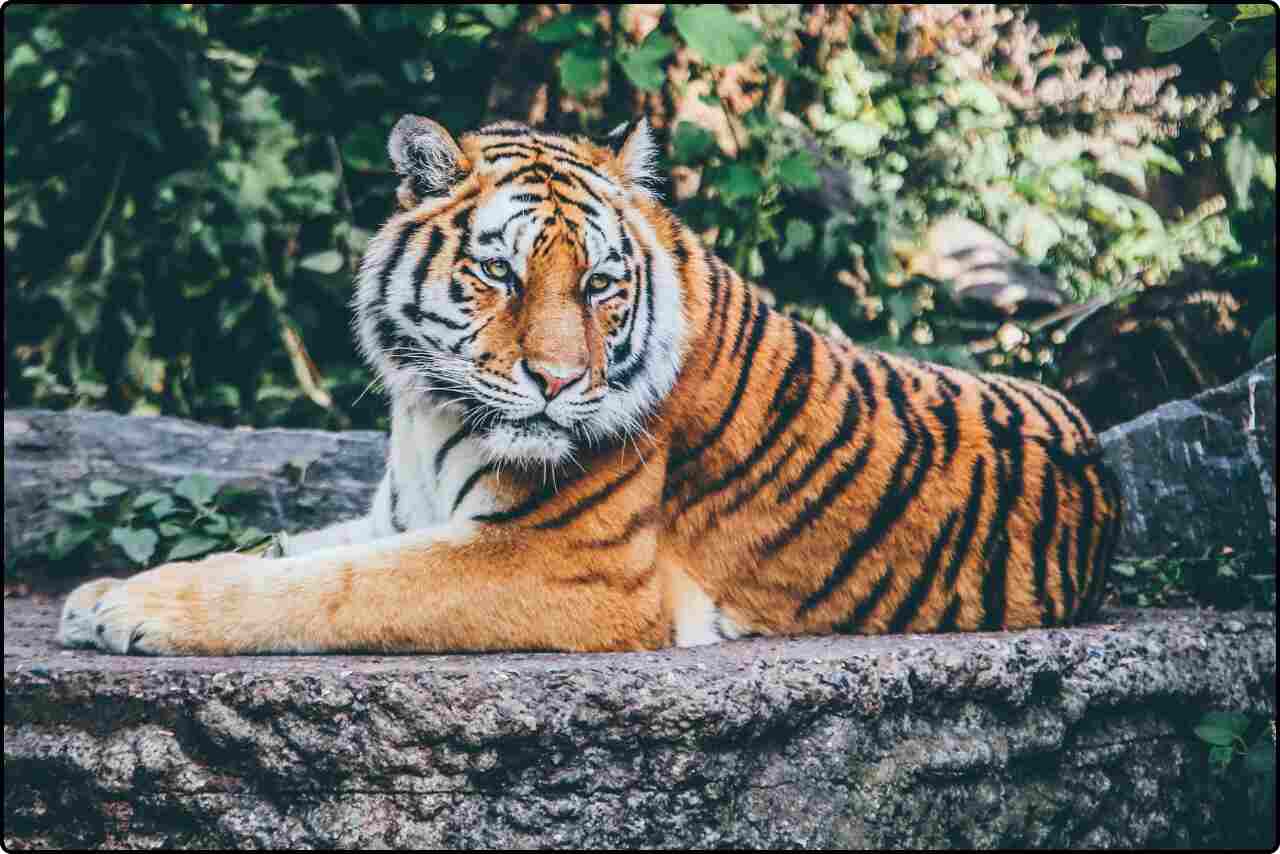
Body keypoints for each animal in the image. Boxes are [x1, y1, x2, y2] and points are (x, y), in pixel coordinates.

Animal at [57, 117, 1121, 660]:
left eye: (602, 284)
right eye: (501, 274)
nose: (559, 382)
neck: (426, 411)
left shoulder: (564, 564)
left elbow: (329, 589)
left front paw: (136, 611)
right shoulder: (400, 515)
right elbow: (285, 551)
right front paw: (104, 592)